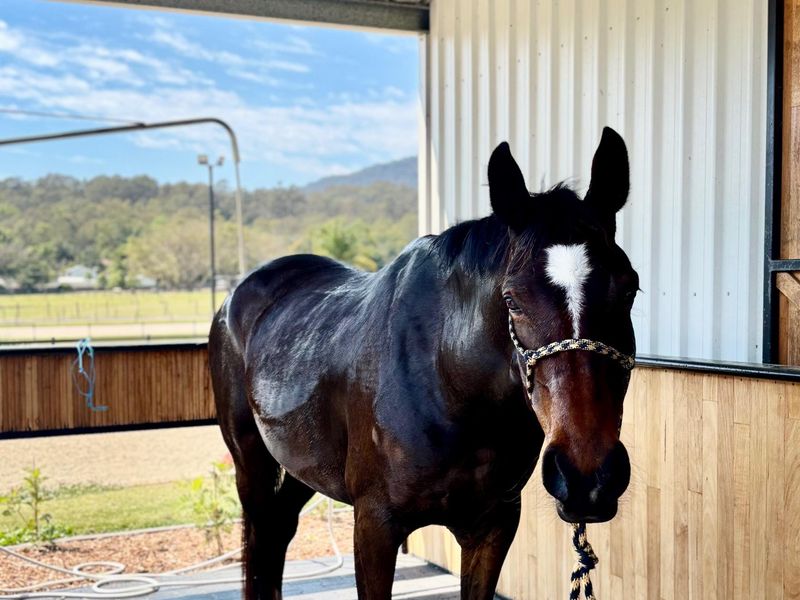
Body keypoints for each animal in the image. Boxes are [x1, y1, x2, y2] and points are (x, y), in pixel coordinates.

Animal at [209, 126, 637, 600]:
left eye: (630, 289)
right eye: (511, 300)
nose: (586, 477)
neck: (446, 383)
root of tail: (236, 295)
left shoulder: (493, 526)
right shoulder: (374, 525)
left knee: (277, 531)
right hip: (250, 462)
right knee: (259, 537)